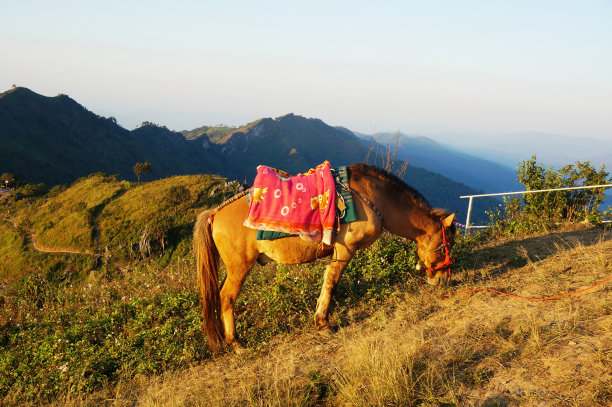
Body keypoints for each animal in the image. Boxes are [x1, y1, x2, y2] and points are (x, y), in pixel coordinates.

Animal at [194, 164, 456, 352]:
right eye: (448, 244)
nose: (443, 280)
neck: (372, 198)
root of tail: (215, 213)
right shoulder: (344, 250)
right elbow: (331, 282)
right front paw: (323, 323)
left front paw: (320, 320)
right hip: (240, 267)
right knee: (227, 297)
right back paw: (236, 342)